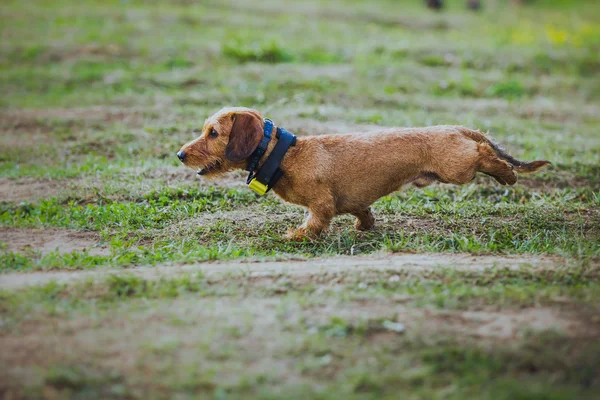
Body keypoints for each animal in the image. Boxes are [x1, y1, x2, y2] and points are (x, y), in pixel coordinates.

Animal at [177, 107, 548, 241]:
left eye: (212, 133)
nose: (180, 154)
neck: (284, 155)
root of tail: (457, 128)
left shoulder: (321, 204)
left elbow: (314, 222)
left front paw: (296, 236)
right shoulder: (354, 201)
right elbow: (363, 212)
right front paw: (364, 227)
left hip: (457, 167)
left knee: (485, 154)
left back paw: (507, 175)